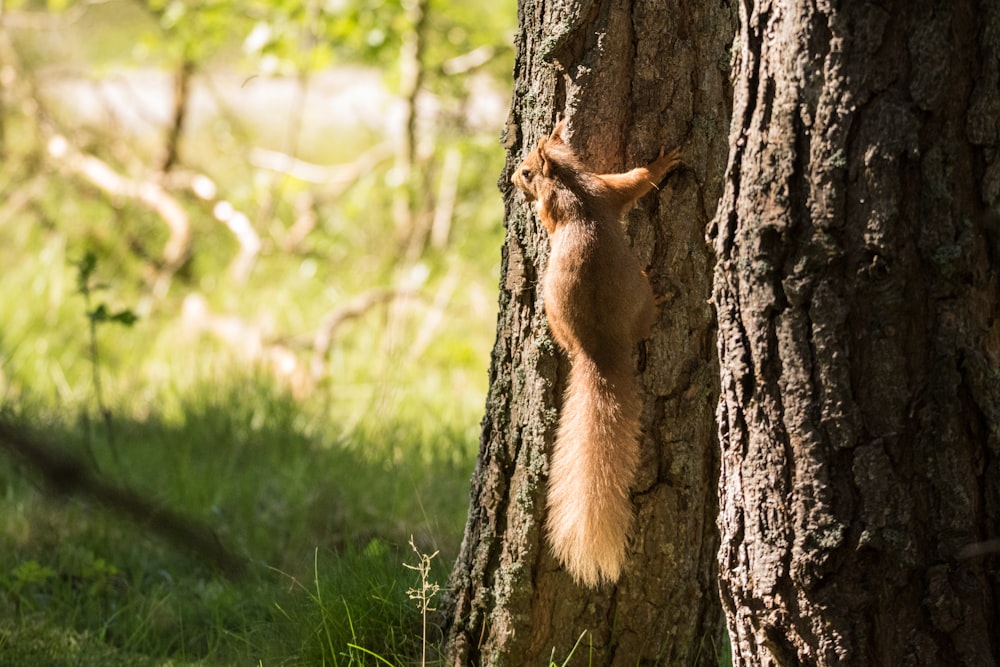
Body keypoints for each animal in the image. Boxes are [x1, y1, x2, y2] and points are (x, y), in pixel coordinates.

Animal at [516, 117, 680, 588]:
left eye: (527, 171)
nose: (512, 182)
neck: (571, 184)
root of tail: (599, 349)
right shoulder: (605, 189)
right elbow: (636, 180)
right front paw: (665, 162)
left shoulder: (594, 190)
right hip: (636, 296)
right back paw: (662, 300)